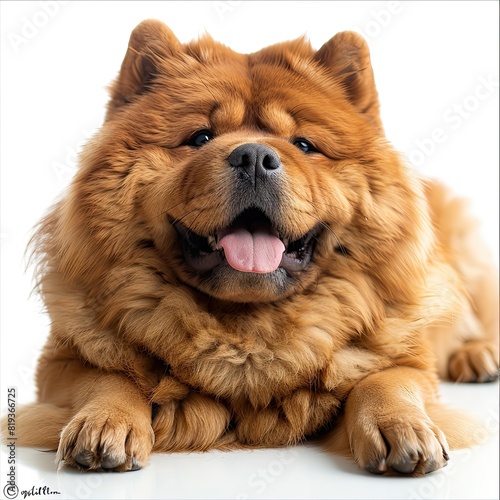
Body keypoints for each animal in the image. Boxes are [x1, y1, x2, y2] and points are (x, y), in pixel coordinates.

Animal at [6, 21, 496, 476]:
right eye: (200, 137)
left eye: (304, 144)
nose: (255, 157)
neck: (247, 328)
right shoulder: (62, 361)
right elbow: (107, 377)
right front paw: (106, 422)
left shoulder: (408, 357)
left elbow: (385, 380)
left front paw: (402, 427)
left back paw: (479, 356)